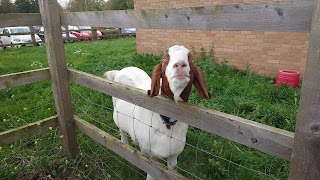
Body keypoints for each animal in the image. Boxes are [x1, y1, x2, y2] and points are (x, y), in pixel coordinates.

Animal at [104, 45, 211, 179]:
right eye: (164, 60)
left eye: (191, 60)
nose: (180, 65)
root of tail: (120, 71)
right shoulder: (148, 153)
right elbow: (151, 173)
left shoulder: (174, 155)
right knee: (122, 131)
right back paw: (124, 146)